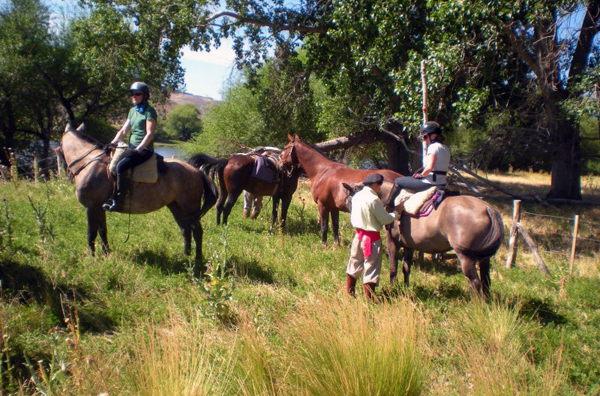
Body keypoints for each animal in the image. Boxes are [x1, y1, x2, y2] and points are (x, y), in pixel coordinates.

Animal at [60, 123, 218, 266]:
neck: (89, 163)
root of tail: (197, 171)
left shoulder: (91, 207)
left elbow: (91, 232)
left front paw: (92, 257)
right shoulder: (99, 208)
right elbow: (102, 230)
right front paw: (106, 254)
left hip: (189, 207)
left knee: (197, 231)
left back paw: (197, 260)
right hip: (176, 207)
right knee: (186, 229)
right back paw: (186, 256)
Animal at [342, 182, 506, 296]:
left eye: (350, 201)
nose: (354, 222)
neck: (391, 200)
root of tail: (488, 209)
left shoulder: (392, 243)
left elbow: (393, 268)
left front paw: (393, 287)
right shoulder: (409, 246)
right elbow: (406, 268)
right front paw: (406, 287)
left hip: (466, 257)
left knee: (475, 283)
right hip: (484, 259)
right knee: (485, 281)